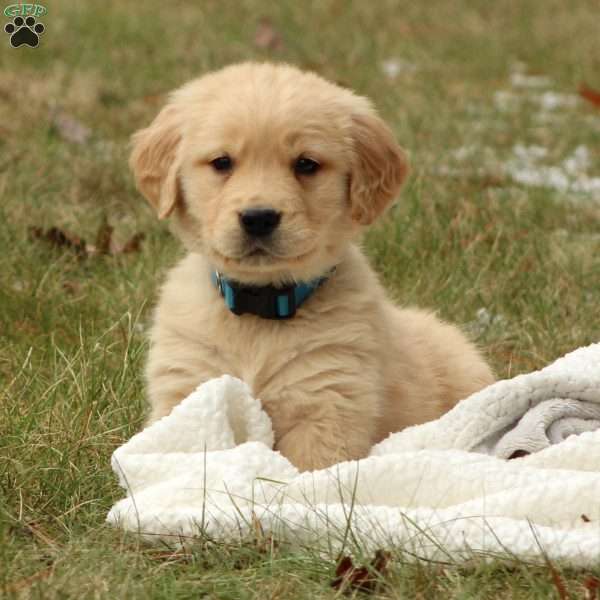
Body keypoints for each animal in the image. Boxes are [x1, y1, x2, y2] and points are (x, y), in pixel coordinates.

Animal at [130, 63, 492, 472]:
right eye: (222, 162)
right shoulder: (188, 393)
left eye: (306, 164)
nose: (258, 218)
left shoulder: (327, 404)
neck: (259, 312)